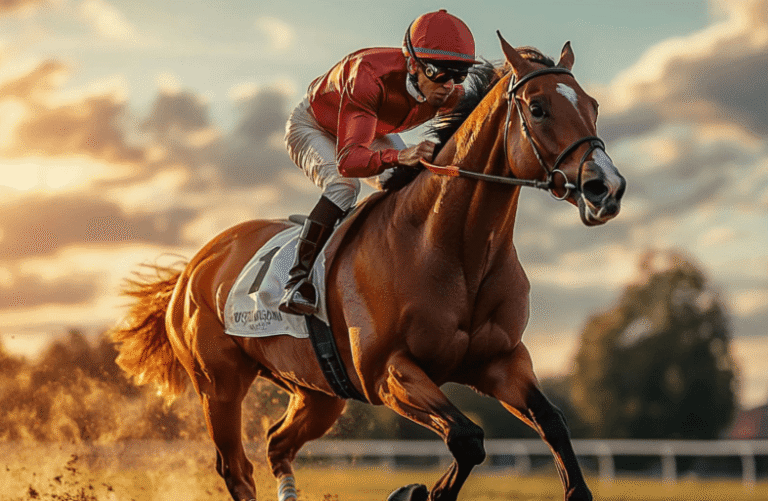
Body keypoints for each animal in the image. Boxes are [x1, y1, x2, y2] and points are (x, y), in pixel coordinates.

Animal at [111, 33, 625, 501]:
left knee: (277, 444)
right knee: (235, 469)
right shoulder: (386, 373)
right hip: (218, 385)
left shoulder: (500, 361)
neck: (449, 247)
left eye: (593, 105)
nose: (607, 187)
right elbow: (467, 438)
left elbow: (553, 424)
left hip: (317, 390)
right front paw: (417, 492)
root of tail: (193, 268)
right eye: (538, 108)